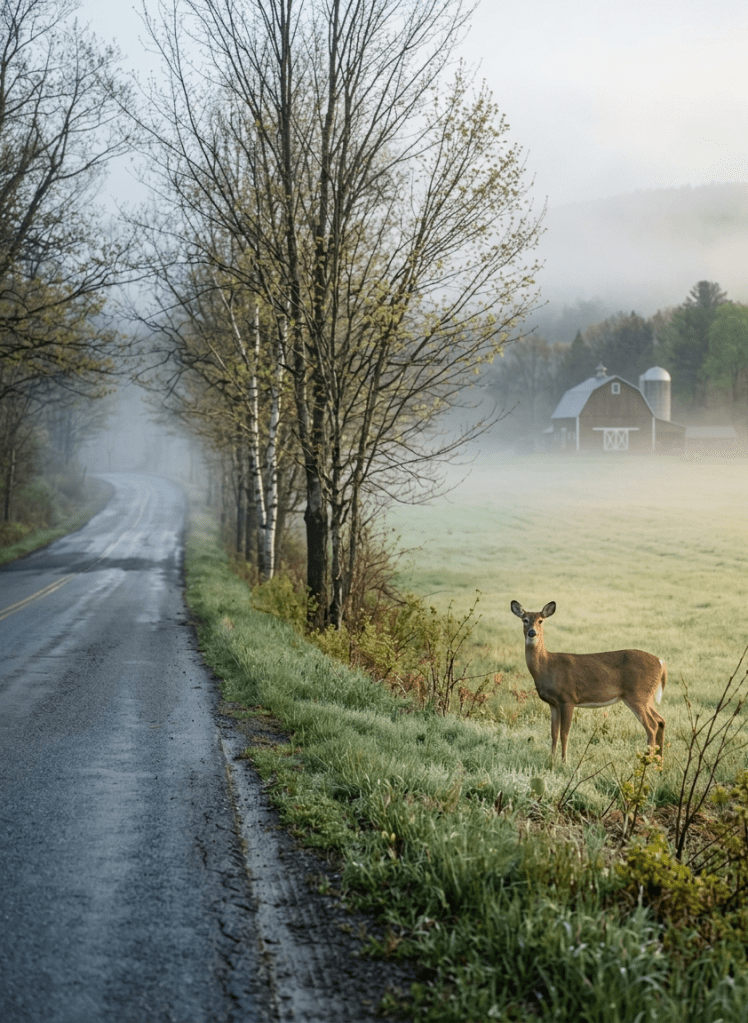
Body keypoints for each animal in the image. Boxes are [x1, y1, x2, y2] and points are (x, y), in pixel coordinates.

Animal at [510, 600, 666, 763]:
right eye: (525, 620)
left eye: (541, 620)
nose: (532, 632)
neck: (547, 666)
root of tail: (661, 662)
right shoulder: (553, 703)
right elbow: (554, 733)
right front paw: (551, 761)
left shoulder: (568, 698)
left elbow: (565, 733)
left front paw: (564, 762)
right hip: (646, 696)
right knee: (661, 721)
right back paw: (659, 762)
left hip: (637, 694)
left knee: (652, 726)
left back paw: (647, 761)